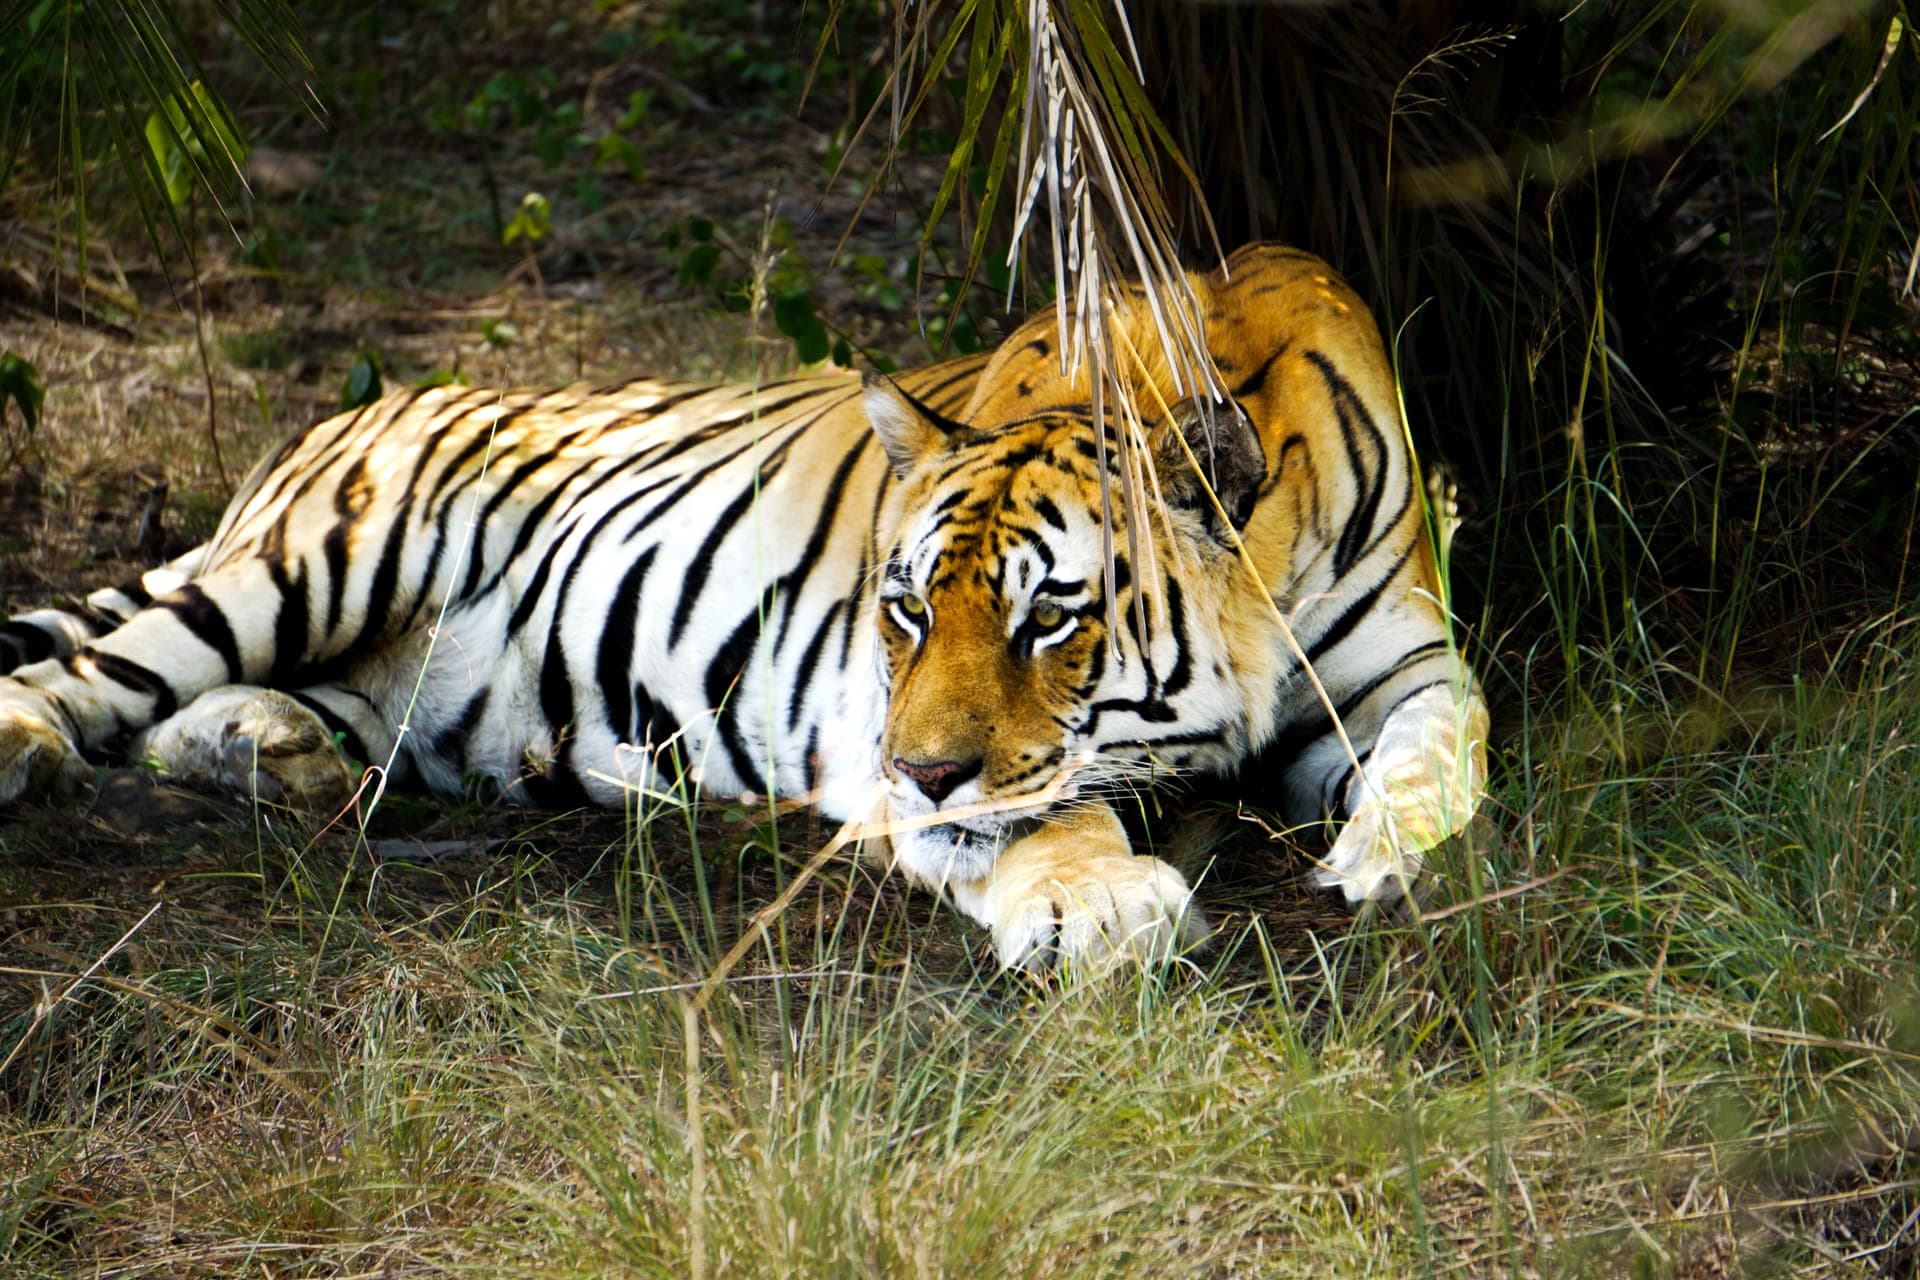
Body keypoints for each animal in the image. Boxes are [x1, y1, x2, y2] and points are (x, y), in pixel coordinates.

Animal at [0, 243, 1487, 970]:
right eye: (906, 611)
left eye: (1049, 620)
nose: (920, 770)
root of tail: (342, 412)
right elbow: (1042, 815)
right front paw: (1105, 907)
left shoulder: (1409, 666)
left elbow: (1446, 750)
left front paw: (1387, 854)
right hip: (327, 555)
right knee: (100, 668)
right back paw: (30, 751)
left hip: (390, 688)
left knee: (196, 715)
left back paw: (276, 755)